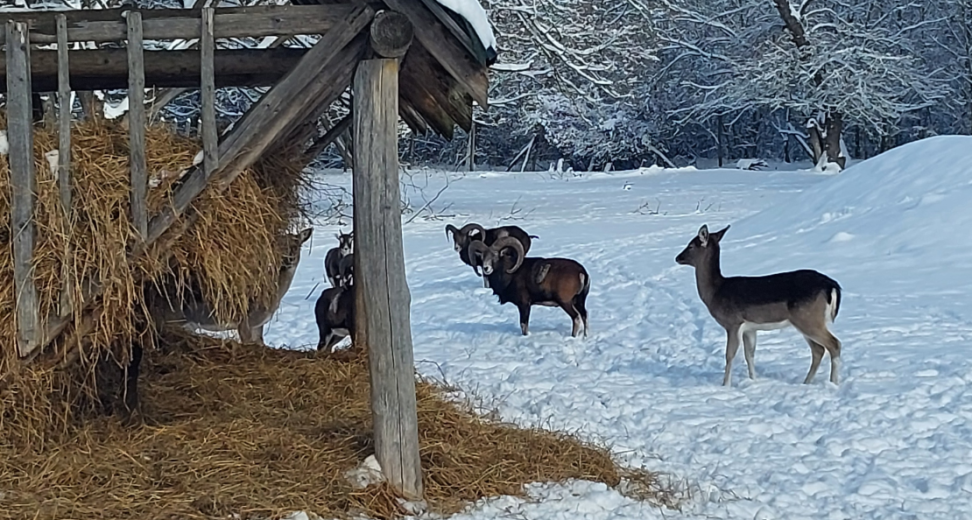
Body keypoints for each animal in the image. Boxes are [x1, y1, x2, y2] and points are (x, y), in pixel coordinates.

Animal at [675, 224, 843, 387]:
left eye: (691, 245)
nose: (677, 258)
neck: (716, 292)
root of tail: (832, 286)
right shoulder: (750, 328)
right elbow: (749, 355)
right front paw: (753, 381)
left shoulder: (733, 323)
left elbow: (730, 355)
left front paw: (726, 385)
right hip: (806, 321)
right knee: (818, 349)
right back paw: (807, 382)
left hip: (808, 318)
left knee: (834, 344)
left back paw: (833, 383)